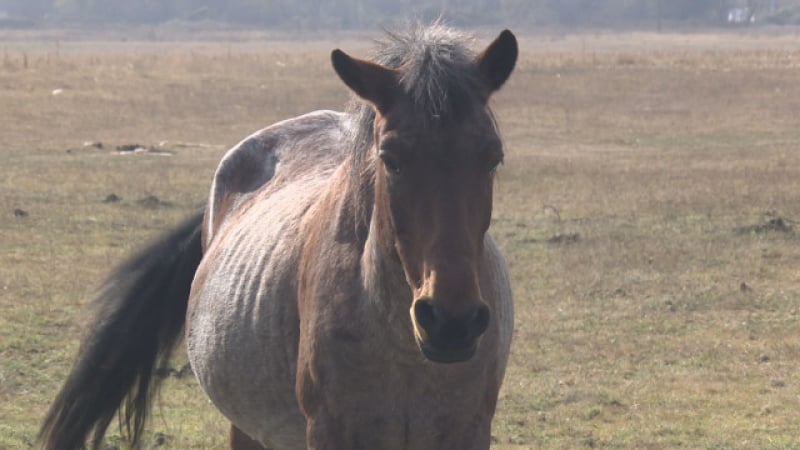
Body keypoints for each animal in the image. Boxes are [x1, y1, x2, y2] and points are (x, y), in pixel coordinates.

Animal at [40, 24, 520, 450]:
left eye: (492, 157)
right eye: (391, 159)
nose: (451, 322)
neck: (403, 349)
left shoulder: (467, 430)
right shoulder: (331, 432)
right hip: (247, 428)